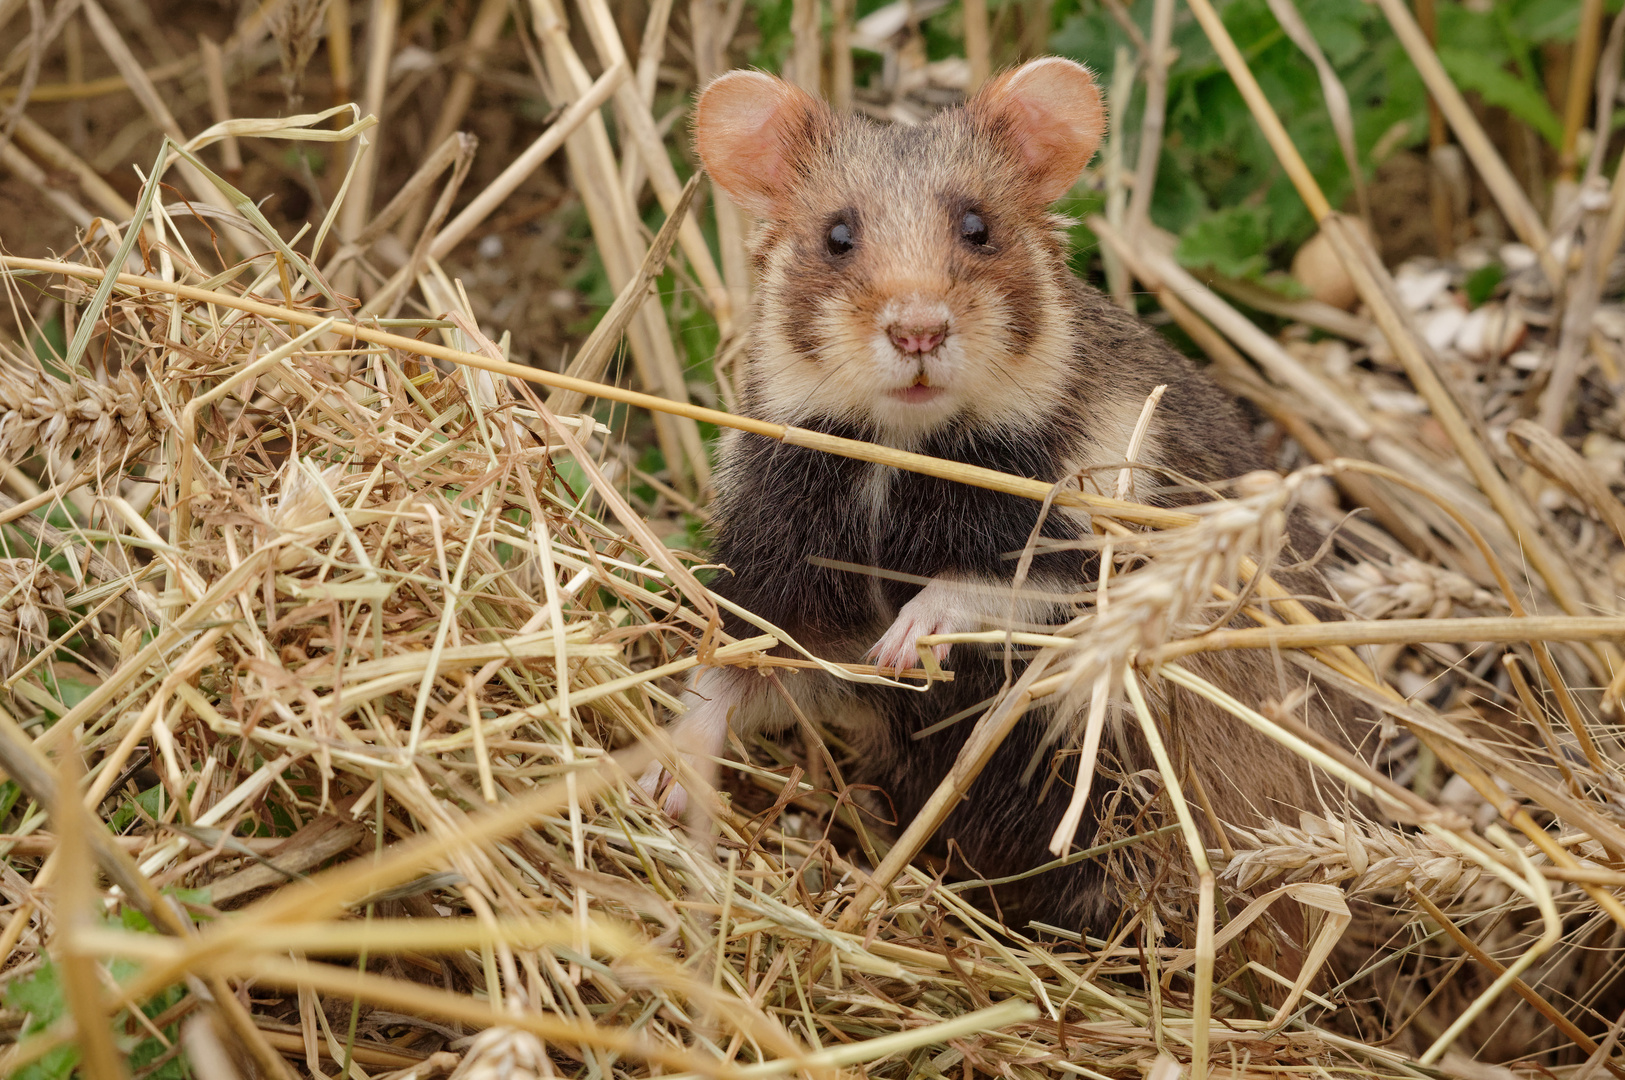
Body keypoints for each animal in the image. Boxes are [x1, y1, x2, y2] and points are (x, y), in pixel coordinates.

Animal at [640, 58, 1365, 928]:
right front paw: (657, 782)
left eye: (978, 227)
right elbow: (726, 679)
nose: (918, 331)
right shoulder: (784, 586)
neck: (897, 455)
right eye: (836, 237)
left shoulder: (1089, 549)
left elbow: (986, 587)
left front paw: (904, 643)